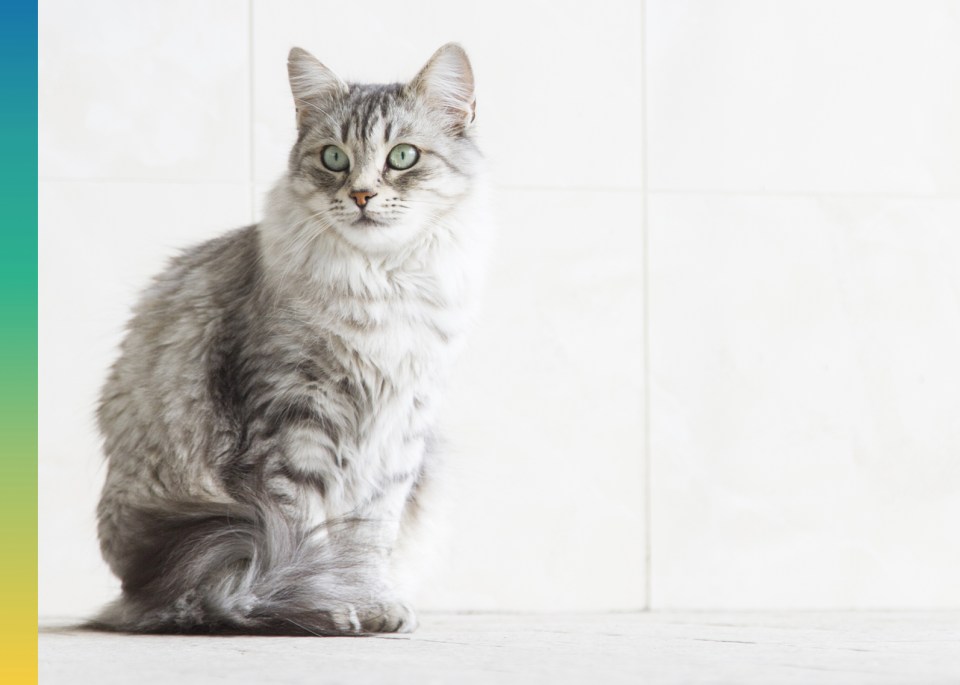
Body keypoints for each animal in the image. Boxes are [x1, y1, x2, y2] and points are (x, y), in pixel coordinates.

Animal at [92, 41, 488, 632]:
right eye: (334, 159)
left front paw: (373, 603)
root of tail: (131, 598)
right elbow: (305, 530)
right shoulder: (295, 417)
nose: (362, 195)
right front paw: (327, 602)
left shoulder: (401, 429)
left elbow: (369, 537)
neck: (382, 284)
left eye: (402, 156)